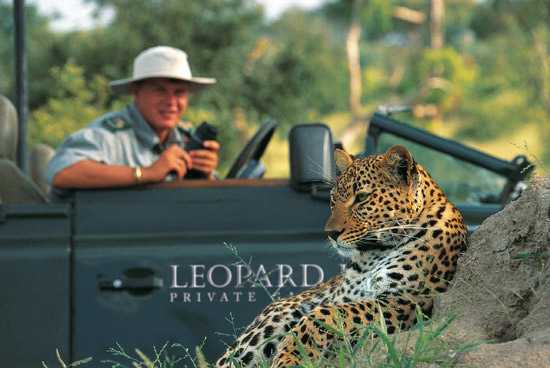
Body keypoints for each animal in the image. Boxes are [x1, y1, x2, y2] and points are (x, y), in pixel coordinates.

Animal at [218, 145, 468, 366]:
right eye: (333, 198)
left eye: (362, 197)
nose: (330, 233)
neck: (372, 255)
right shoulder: (339, 296)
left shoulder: (408, 300)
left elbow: (325, 315)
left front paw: (289, 357)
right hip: (275, 317)